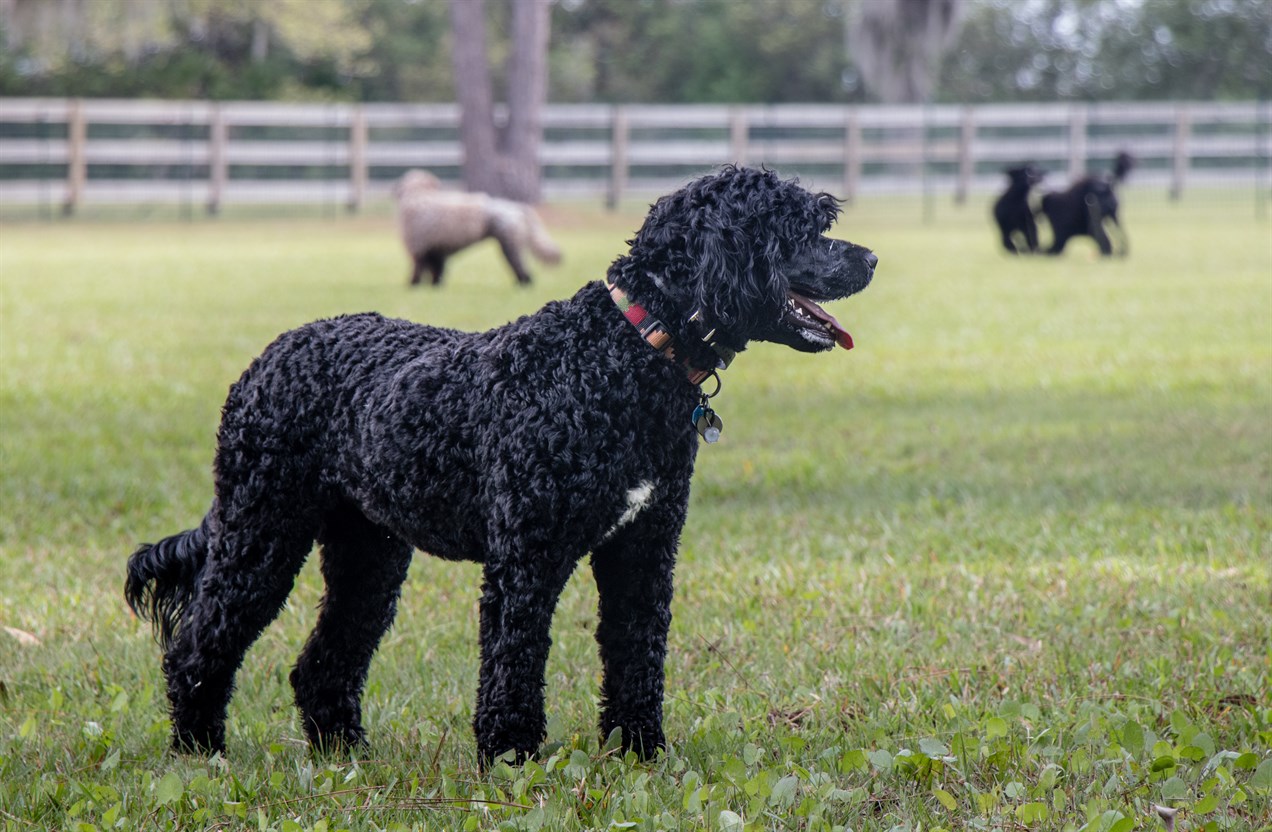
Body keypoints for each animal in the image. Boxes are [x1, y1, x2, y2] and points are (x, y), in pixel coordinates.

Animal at [124, 167, 880, 768]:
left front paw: (641, 753)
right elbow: (515, 659)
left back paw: (346, 754)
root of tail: (268, 357)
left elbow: (637, 654)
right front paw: (511, 756)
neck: (624, 354)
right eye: (802, 228)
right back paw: (199, 750)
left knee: (323, 663)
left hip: (368, 553)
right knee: (199, 645)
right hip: (261, 531)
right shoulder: (527, 558)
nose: (872, 257)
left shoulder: (643, 550)